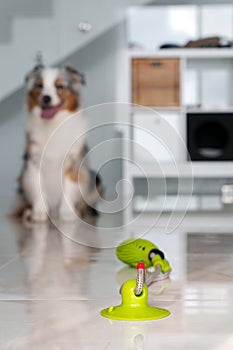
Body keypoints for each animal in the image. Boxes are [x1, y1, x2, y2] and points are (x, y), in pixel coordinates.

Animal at [14, 64, 102, 223]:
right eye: (40, 86)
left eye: (59, 86)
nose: (46, 98)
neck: (53, 124)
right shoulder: (34, 162)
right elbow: (37, 187)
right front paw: (39, 213)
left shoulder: (73, 162)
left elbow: (68, 186)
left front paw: (67, 213)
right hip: (21, 177)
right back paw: (28, 213)